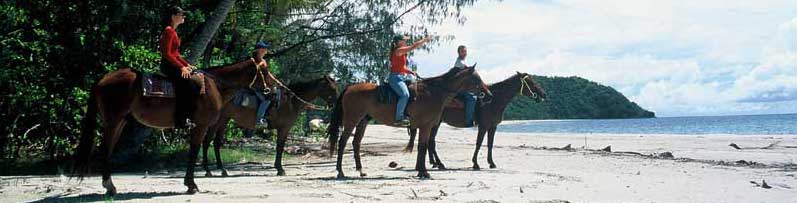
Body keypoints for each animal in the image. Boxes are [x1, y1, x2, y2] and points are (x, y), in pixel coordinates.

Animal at [74, 57, 276, 195]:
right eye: (265, 71)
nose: (273, 90)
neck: (215, 86)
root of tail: (103, 79)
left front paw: (190, 183)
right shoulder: (201, 125)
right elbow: (194, 150)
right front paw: (191, 184)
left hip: (119, 122)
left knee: (108, 149)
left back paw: (110, 186)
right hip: (113, 121)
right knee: (106, 149)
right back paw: (109, 185)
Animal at [201, 75, 338, 177]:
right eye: (332, 88)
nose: (335, 105)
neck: (291, 101)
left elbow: (279, 147)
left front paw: (278, 168)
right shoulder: (284, 129)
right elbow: (280, 147)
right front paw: (280, 169)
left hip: (224, 120)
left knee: (216, 142)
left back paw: (222, 170)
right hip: (218, 121)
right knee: (207, 141)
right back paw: (208, 170)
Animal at [324, 66, 492, 178]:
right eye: (476, 79)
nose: (489, 94)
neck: (434, 92)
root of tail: (349, 88)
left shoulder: (426, 126)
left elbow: (421, 147)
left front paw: (420, 170)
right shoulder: (425, 126)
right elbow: (423, 147)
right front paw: (424, 172)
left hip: (362, 122)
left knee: (356, 143)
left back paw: (360, 170)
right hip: (352, 120)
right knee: (342, 142)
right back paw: (340, 172)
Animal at [404, 71, 548, 170]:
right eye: (531, 83)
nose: (544, 94)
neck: (494, 100)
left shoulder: (493, 127)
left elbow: (490, 144)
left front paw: (491, 163)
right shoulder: (483, 126)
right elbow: (479, 143)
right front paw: (475, 163)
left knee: (430, 142)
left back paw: (434, 163)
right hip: (435, 123)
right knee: (431, 142)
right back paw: (439, 164)